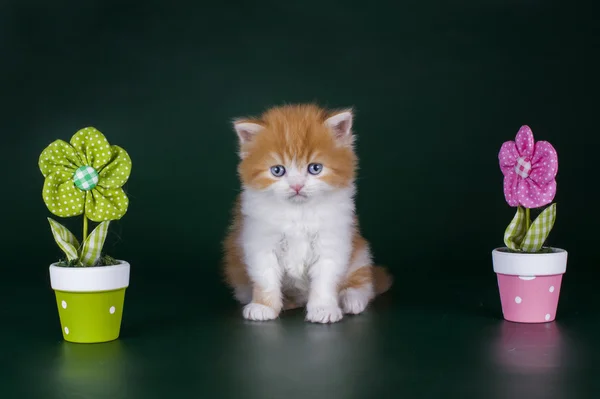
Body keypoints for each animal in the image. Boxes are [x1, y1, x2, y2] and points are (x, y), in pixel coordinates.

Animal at [223, 104, 392, 324]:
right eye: (278, 170)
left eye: (315, 168)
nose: (297, 186)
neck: (299, 213)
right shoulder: (259, 241)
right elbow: (265, 276)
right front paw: (264, 306)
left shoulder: (332, 241)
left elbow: (325, 279)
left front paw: (323, 308)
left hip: (360, 252)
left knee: (363, 282)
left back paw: (351, 300)